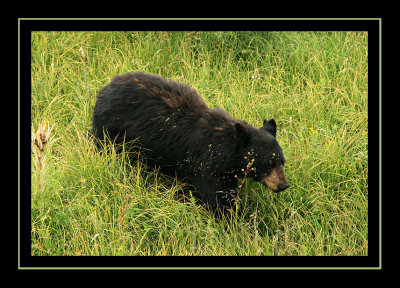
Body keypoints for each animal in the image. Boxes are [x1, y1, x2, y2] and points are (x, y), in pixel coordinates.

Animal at [92, 72, 290, 214]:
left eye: (282, 161)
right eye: (267, 163)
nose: (284, 185)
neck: (225, 153)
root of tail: (105, 89)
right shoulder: (206, 166)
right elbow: (216, 199)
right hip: (110, 133)